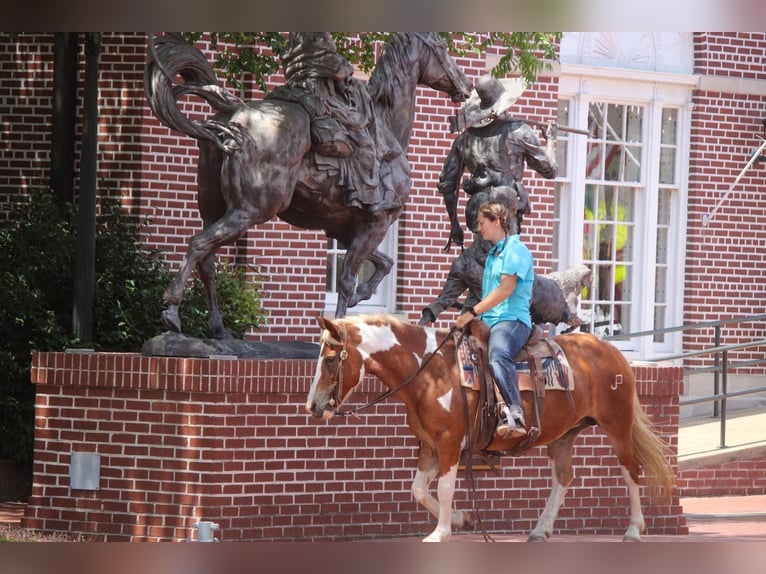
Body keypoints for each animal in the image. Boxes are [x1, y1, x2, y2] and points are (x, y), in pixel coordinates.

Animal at [308, 316, 676, 544]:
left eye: (330, 359)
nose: (313, 406)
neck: (429, 371)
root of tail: (612, 350)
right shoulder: (428, 445)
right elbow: (418, 490)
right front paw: (462, 520)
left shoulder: (450, 442)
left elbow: (443, 488)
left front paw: (441, 532)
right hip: (563, 436)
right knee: (563, 478)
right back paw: (540, 530)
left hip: (618, 424)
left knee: (631, 470)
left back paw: (634, 529)